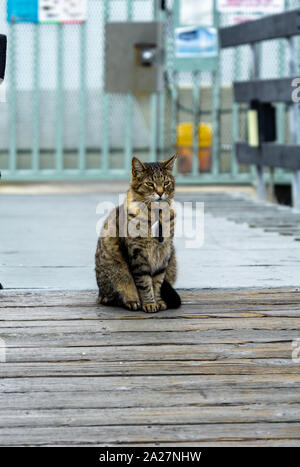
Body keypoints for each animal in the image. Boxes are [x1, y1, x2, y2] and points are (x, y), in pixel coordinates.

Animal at [95, 155, 180, 312]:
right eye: (150, 184)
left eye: (166, 182)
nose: (160, 193)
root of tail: (99, 294)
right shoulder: (137, 254)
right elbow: (145, 283)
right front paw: (149, 303)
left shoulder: (164, 254)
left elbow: (157, 282)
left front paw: (158, 301)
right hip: (116, 272)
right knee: (115, 294)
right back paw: (132, 300)